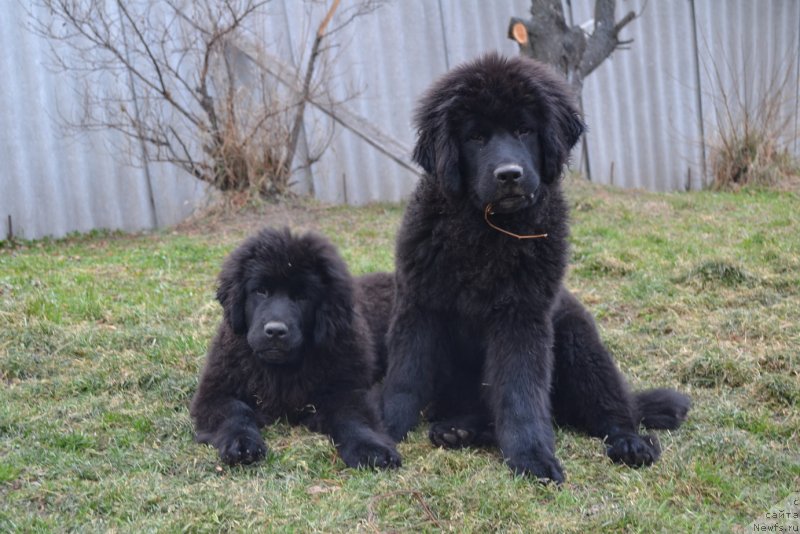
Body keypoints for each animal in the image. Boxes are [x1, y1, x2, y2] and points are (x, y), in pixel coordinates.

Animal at [191, 228, 404, 472]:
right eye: (260, 291)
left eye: (303, 296)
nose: (275, 331)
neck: (280, 370)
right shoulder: (215, 392)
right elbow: (235, 412)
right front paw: (242, 443)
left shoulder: (348, 388)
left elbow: (354, 418)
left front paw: (371, 449)